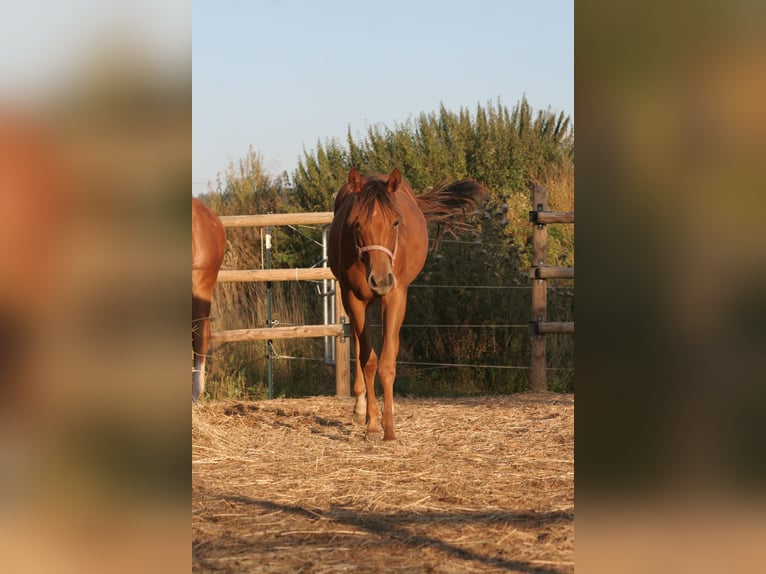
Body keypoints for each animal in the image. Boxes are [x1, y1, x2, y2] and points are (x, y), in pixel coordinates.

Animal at [329, 168, 486, 440]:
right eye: (357, 223)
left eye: (395, 222)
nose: (380, 280)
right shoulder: (353, 297)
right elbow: (368, 360)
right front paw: (372, 424)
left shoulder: (395, 296)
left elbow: (387, 362)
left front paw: (389, 427)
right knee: (359, 345)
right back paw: (360, 408)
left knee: (390, 345)